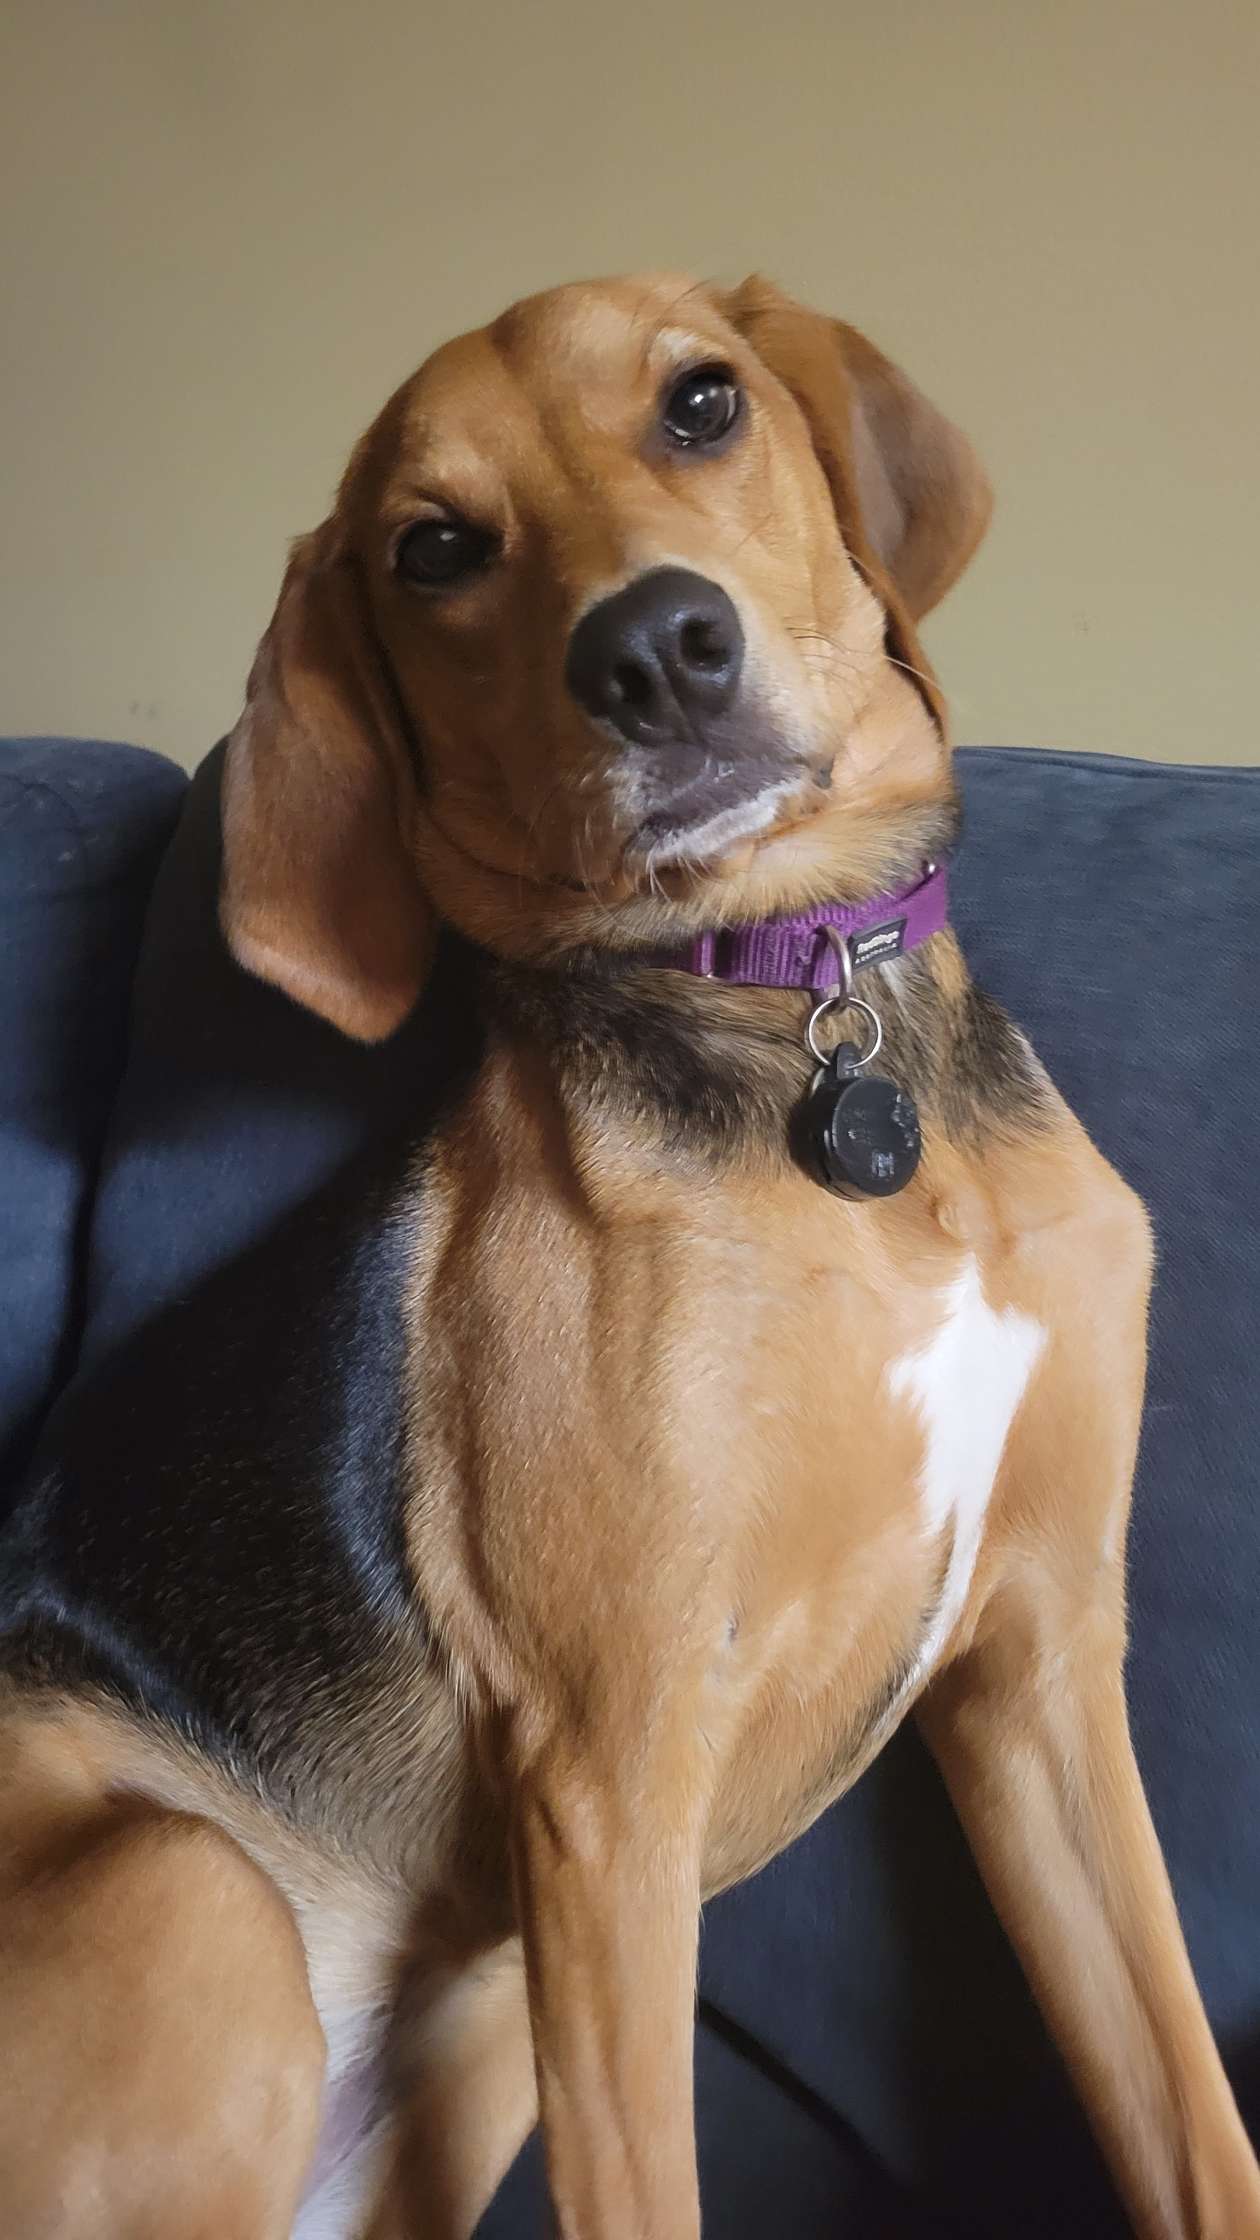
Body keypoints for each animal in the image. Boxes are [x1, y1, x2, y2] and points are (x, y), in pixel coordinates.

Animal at [2, 271, 1255, 2231]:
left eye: (702, 402)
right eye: (434, 548)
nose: (655, 653)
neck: (806, 1018)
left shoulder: (1043, 1671)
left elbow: (1194, 2127)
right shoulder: (613, 1774)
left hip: (476, 2042)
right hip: (204, 1901)